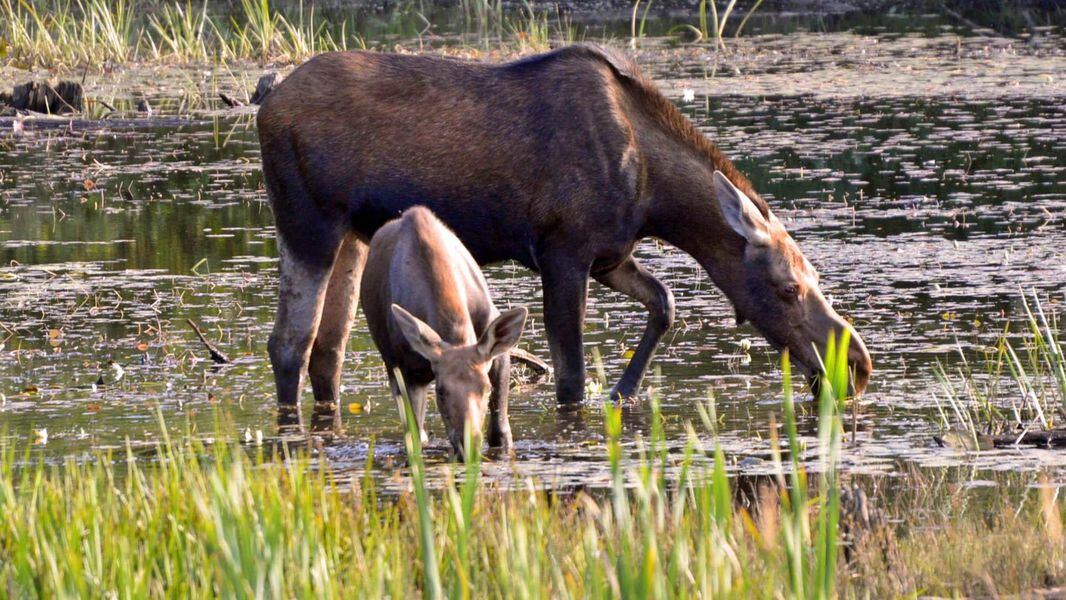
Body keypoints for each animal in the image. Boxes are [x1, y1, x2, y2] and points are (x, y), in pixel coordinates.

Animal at [260, 41, 874, 409]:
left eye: (815, 278)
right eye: (788, 288)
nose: (858, 366)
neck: (655, 196)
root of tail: (265, 99)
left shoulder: (610, 253)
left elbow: (665, 301)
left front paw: (624, 391)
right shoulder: (562, 251)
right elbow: (571, 375)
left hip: (353, 236)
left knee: (329, 347)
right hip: (306, 224)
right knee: (289, 341)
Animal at [362, 204, 528, 458]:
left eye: (485, 388)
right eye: (441, 391)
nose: (469, 443)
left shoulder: (497, 357)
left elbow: (501, 434)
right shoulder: (408, 372)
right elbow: (414, 440)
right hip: (391, 364)